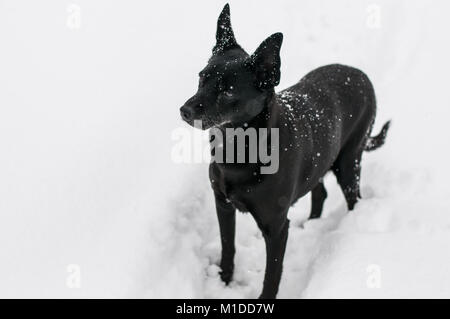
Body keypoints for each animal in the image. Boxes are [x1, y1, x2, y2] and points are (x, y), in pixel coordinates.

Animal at [179, 4, 390, 300]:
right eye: (201, 77)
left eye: (228, 91)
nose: (184, 110)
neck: (239, 149)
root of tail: (359, 74)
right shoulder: (222, 204)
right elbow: (227, 247)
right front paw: (224, 280)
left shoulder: (276, 228)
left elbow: (272, 274)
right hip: (320, 158)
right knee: (320, 191)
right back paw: (311, 223)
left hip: (349, 161)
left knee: (353, 197)